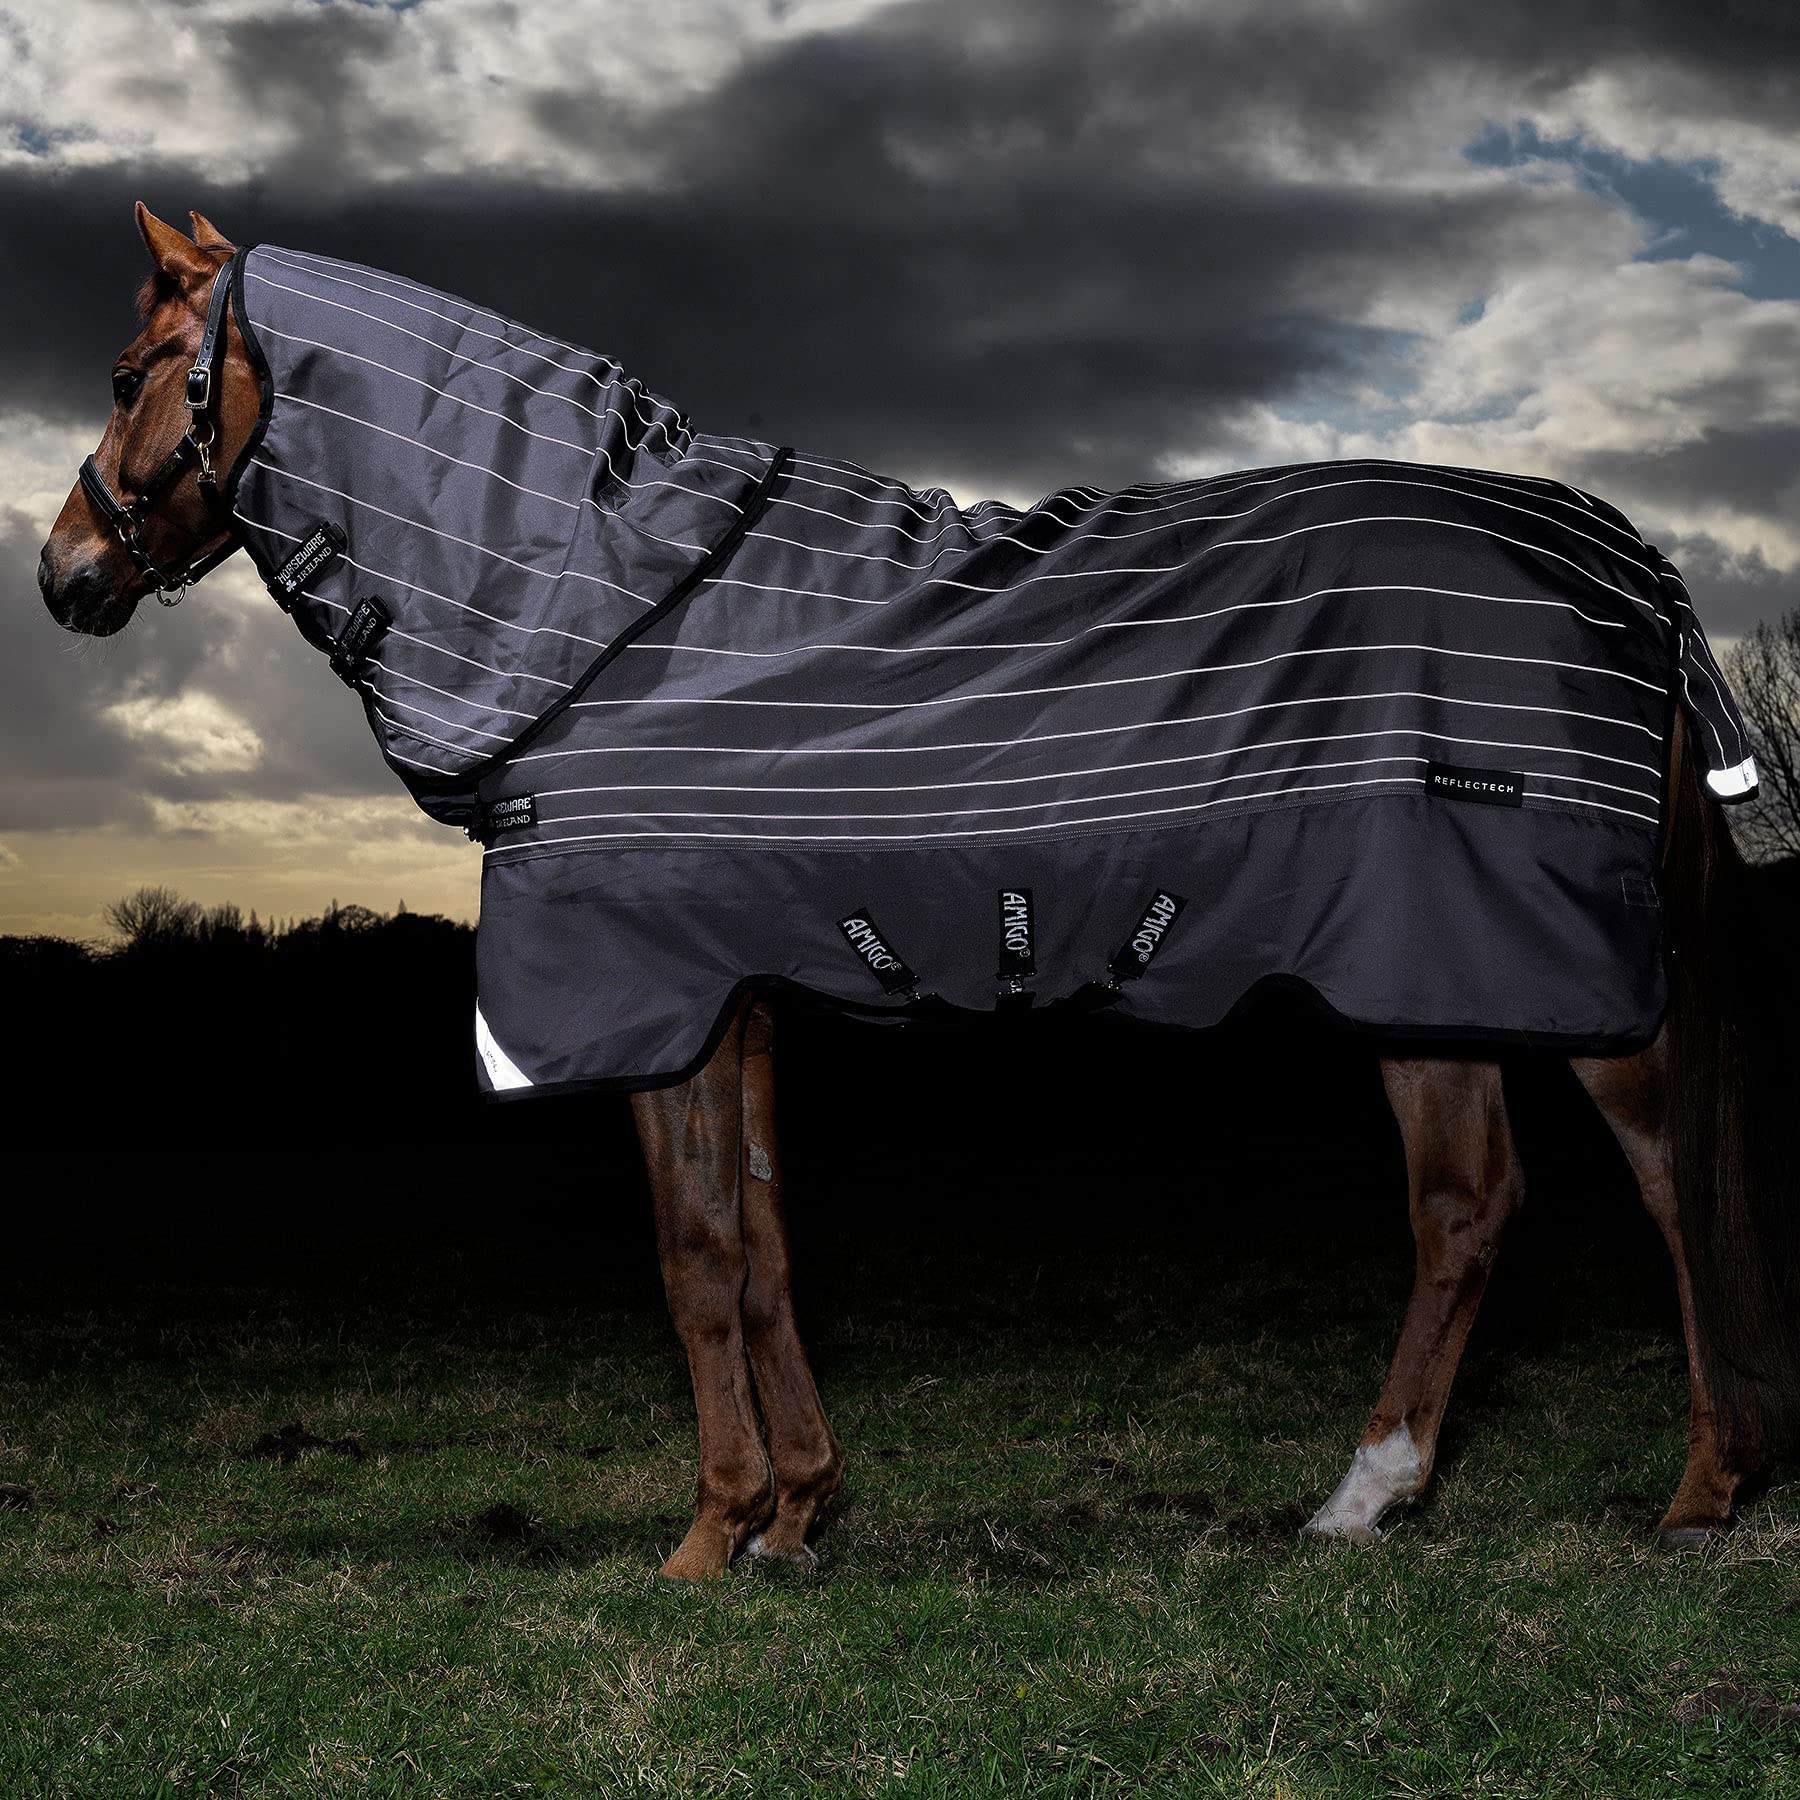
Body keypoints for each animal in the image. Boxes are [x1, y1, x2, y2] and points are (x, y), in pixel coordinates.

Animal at [36, 206, 1798, 1579]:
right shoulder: (737, 999)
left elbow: (694, 1254)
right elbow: (759, 1242)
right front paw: (796, 1515)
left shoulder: (651, 1004)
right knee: (1468, 1206)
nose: (62, 576)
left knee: (1662, 1176)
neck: (620, 609)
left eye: (127, 378)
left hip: (1548, 972)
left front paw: (709, 1534)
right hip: (1422, 975)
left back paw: (1699, 1490)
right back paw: (1368, 1501)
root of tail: (1625, 555)